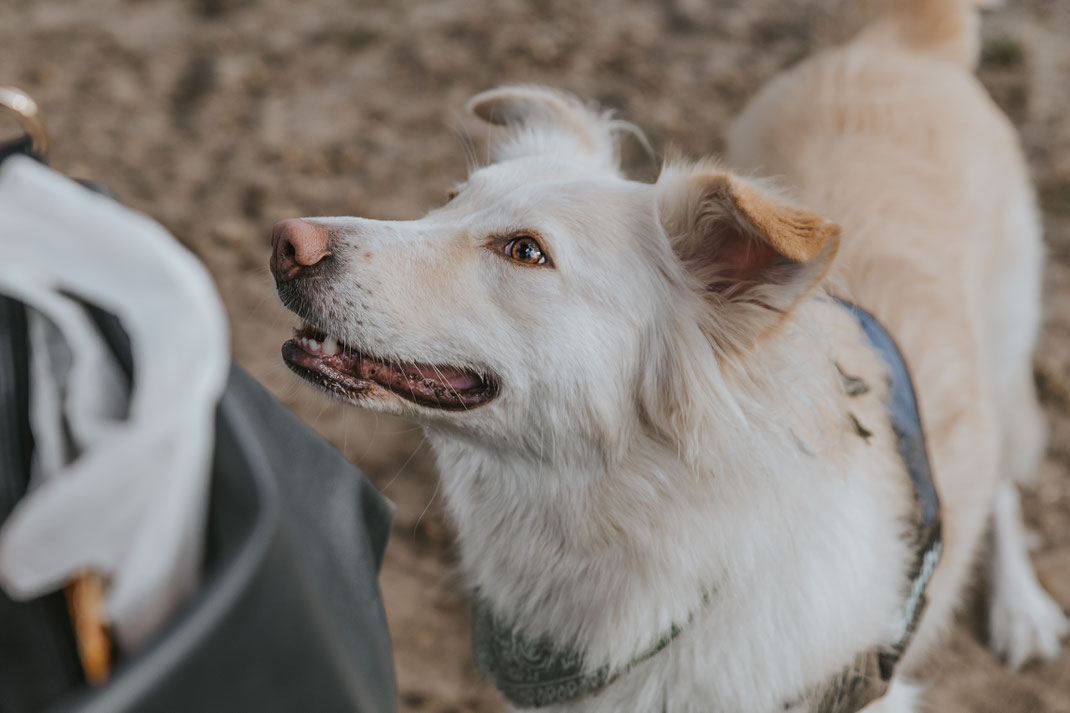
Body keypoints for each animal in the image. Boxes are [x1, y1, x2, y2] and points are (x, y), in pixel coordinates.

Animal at [271, 2, 1065, 706]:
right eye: (448, 199)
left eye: (525, 251)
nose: (286, 242)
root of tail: (904, 45)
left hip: (1005, 354)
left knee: (1000, 479)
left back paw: (1021, 607)